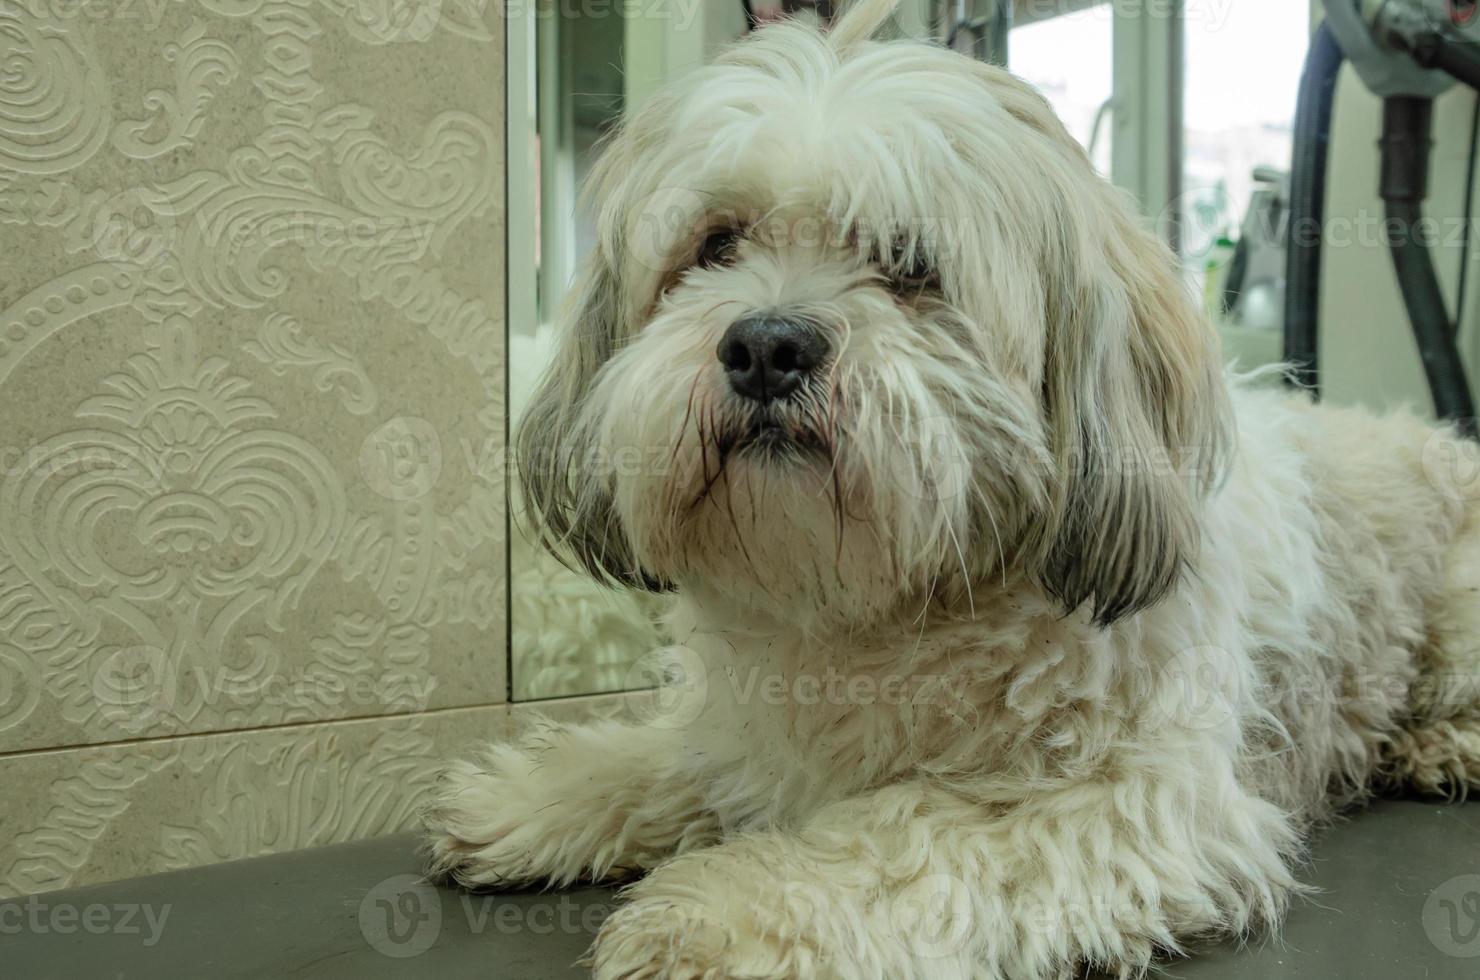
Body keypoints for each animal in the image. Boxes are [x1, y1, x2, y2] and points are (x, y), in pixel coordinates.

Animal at [426, 3, 1480, 977]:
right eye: (717, 244)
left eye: (909, 264)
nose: (766, 344)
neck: (888, 613)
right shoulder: (748, 735)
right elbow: (678, 755)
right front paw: (539, 794)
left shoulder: (1132, 803)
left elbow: (899, 836)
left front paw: (726, 912)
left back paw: (1439, 744)